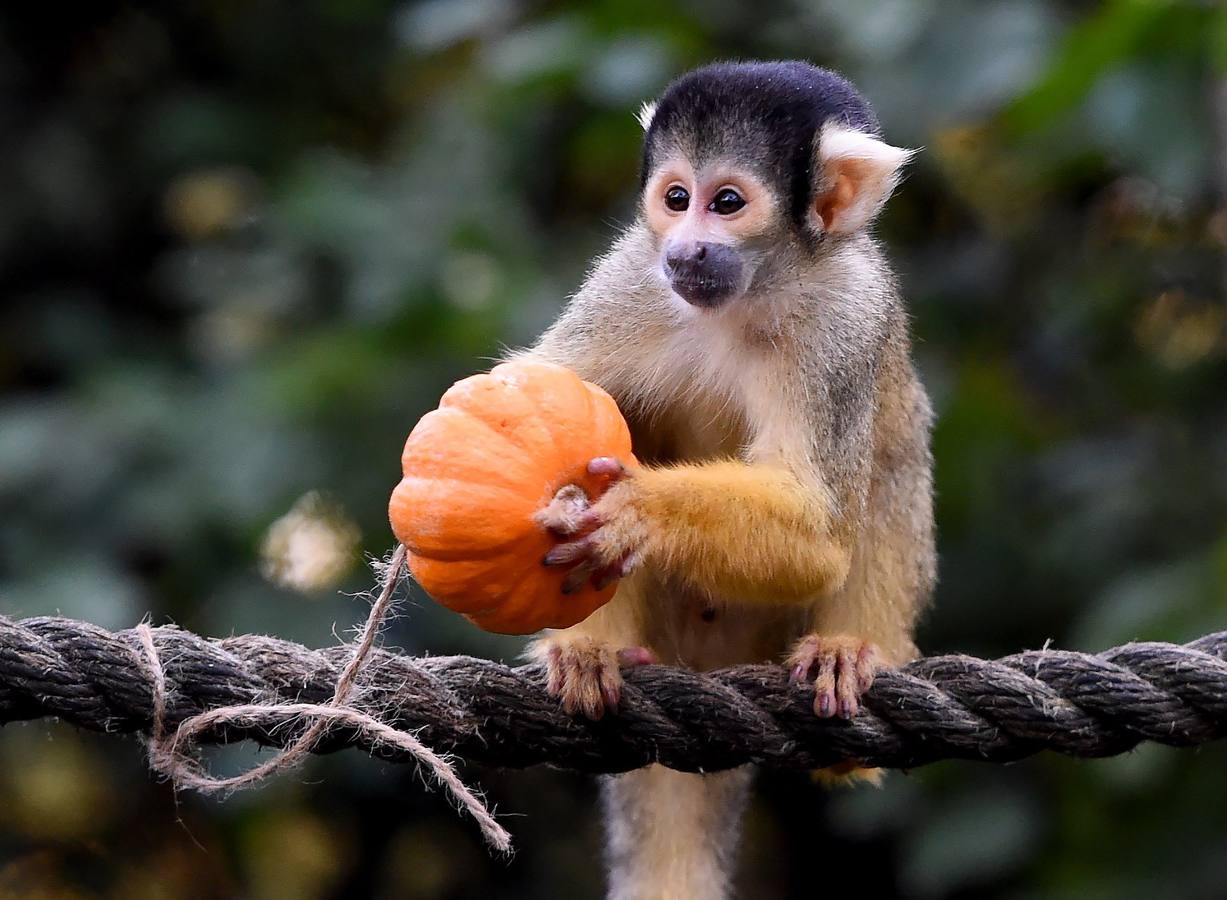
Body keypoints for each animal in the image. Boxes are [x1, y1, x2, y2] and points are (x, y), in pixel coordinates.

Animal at [511, 60, 935, 900]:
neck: (750, 295)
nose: (686, 250)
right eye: (676, 199)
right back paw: (594, 648)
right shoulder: (629, 277)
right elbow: (536, 390)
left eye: (727, 204)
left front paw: (636, 510)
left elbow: (819, 529)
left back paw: (849, 653)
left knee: (889, 463)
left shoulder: (844, 314)